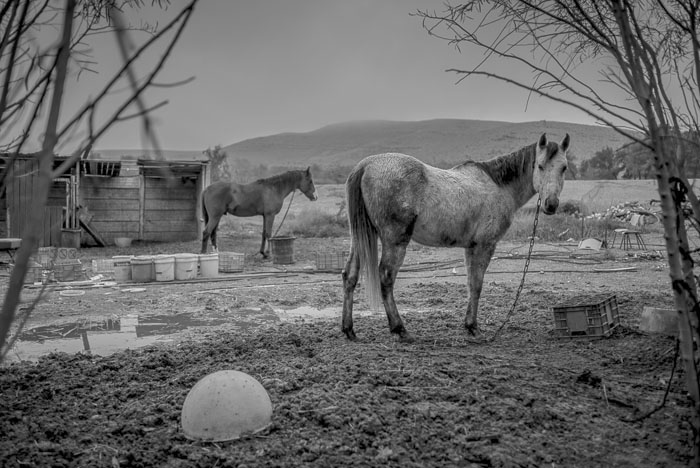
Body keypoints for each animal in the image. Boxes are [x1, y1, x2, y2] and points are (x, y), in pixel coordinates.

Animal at [342, 133, 572, 342]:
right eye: (540, 166)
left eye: (564, 167)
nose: (551, 205)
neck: (498, 185)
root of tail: (366, 165)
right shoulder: (485, 245)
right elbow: (477, 284)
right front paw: (473, 327)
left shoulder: (470, 247)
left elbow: (471, 284)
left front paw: (469, 325)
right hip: (395, 241)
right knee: (386, 277)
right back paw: (400, 329)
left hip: (359, 238)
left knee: (350, 275)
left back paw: (348, 329)